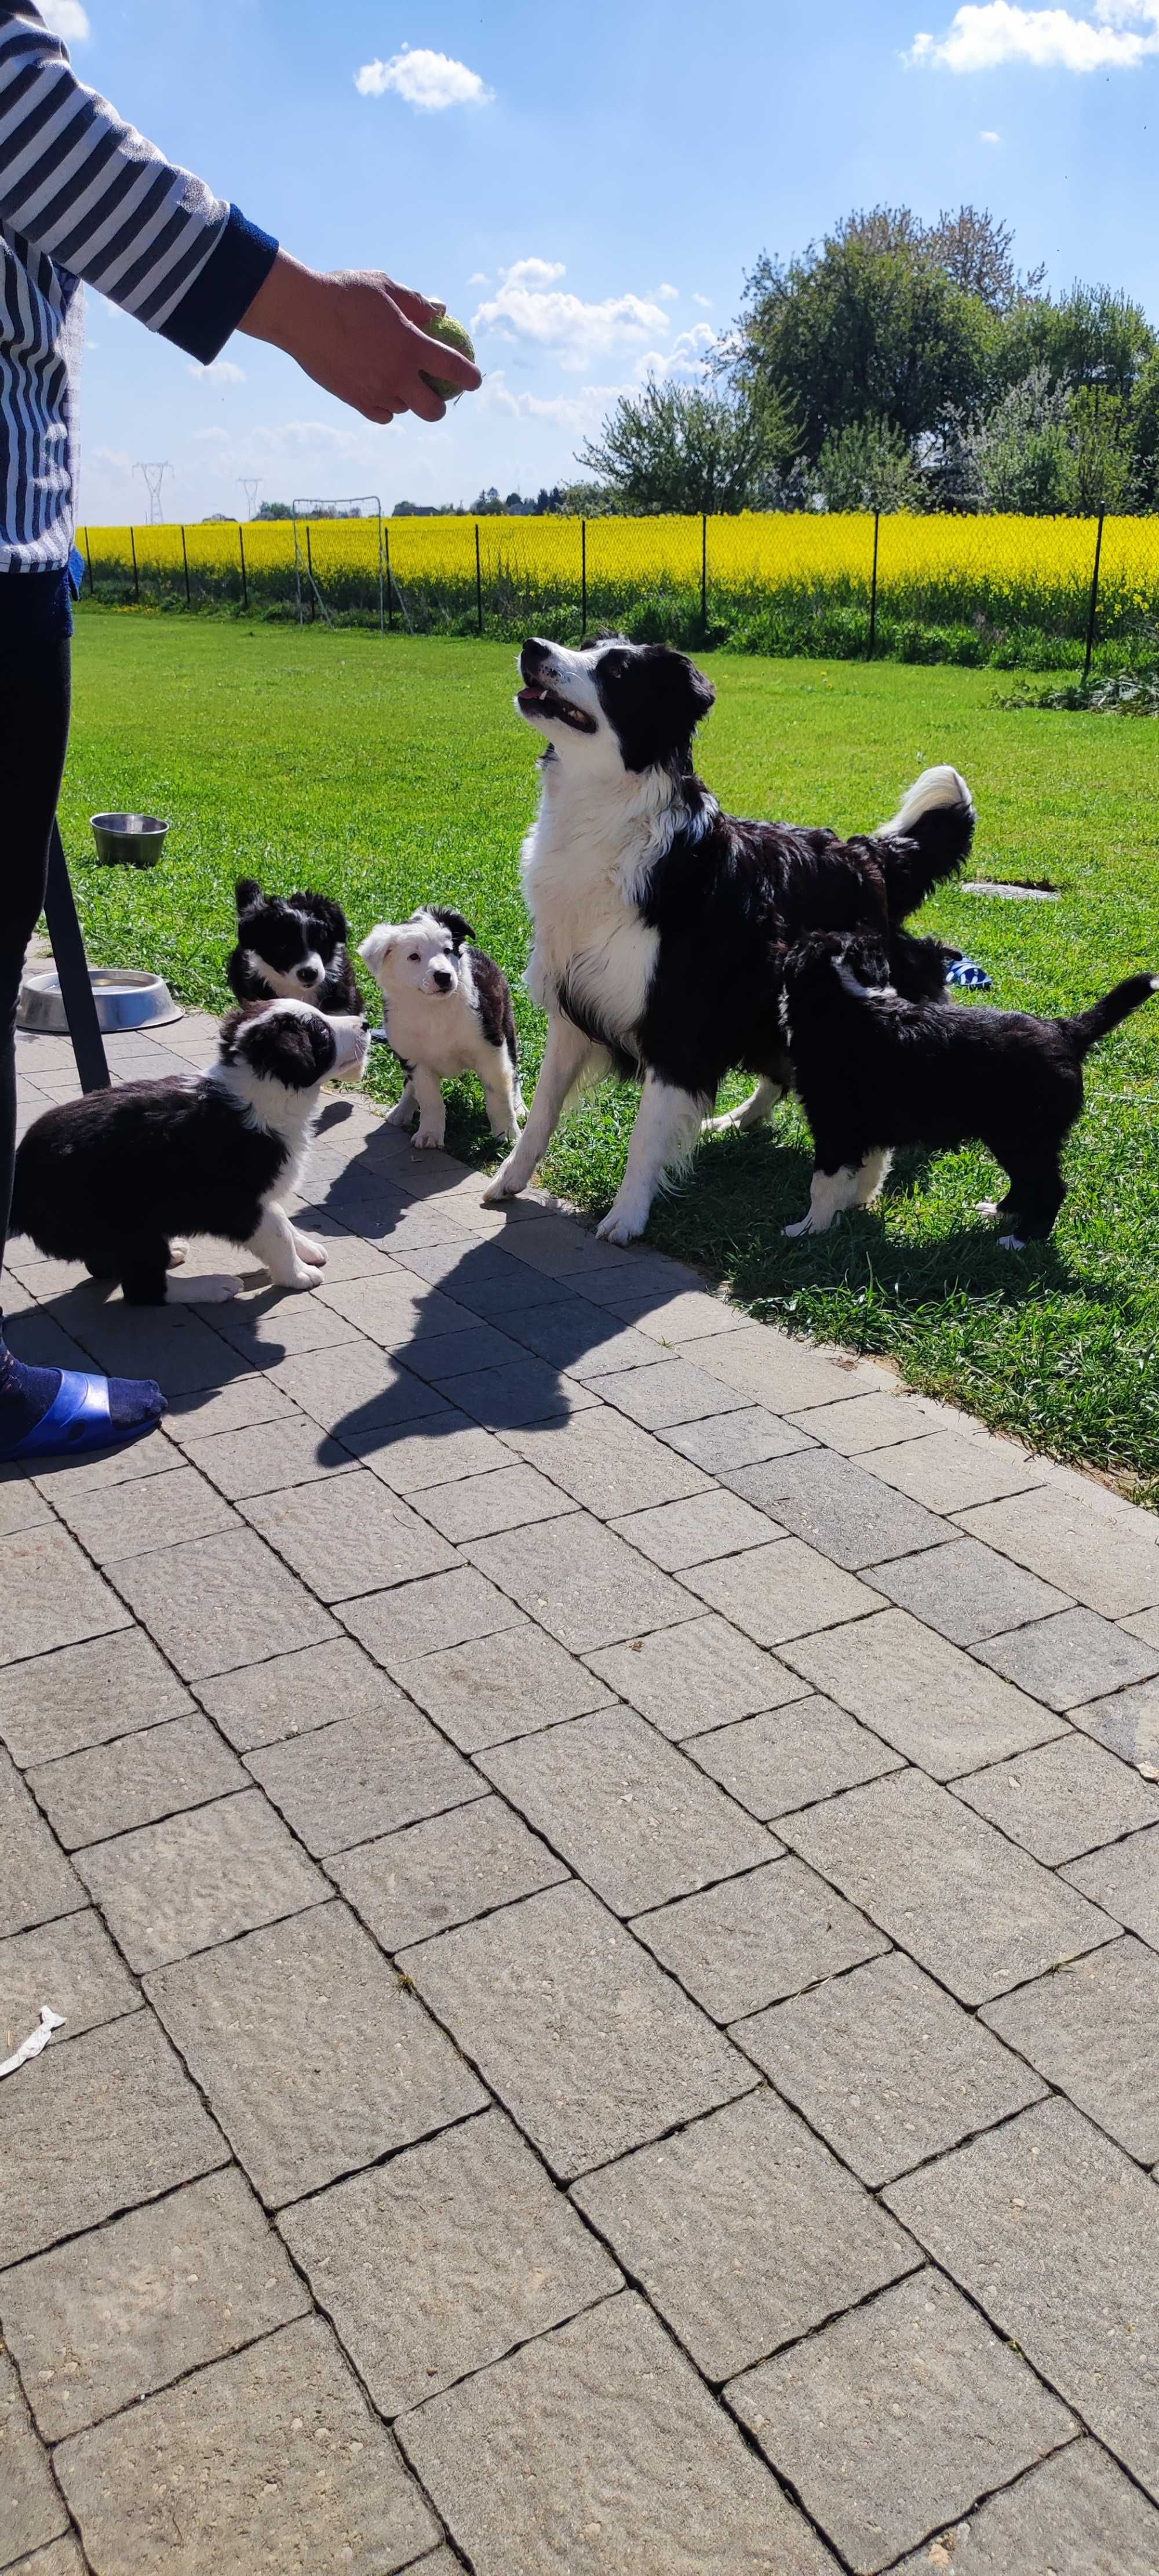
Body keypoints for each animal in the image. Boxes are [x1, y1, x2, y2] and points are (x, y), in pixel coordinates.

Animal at [11, 994, 366, 1298]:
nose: (364, 1024)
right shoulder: (235, 1202)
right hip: (125, 1218)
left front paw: (306, 1247)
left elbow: (282, 1220)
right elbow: (277, 1231)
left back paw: (174, 1253)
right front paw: (297, 1274)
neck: (259, 1095)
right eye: (323, 1033)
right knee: (144, 1289)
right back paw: (212, 1287)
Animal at [360, 907, 523, 1149]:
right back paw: (402, 1111)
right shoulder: (416, 1060)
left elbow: (499, 1096)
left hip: (506, 1025)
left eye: (447, 951)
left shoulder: (491, 1051)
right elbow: (430, 1100)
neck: (434, 1008)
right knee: (410, 1086)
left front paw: (509, 1136)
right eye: (414, 956)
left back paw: (519, 1106)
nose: (444, 976)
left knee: (514, 1072)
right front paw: (429, 1134)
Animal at [482, 641, 978, 1246]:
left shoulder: (677, 1022)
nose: (533, 648)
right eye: (587, 644)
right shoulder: (574, 1005)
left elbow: (646, 1135)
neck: (604, 819)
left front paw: (627, 1217)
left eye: (616, 670)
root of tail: (868, 855)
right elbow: (544, 1106)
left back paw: (860, 1185)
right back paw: (743, 1119)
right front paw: (511, 1177)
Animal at [778, 932, 1159, 1251]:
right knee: (1027, 1182)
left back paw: (1020, 1240)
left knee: (1050, 1187)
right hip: (1014, 1137)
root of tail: (1064, 1030)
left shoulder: (834, 1126)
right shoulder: (866, 1131)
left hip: (1022, 1135)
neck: (842, 1002)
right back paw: (1000, 1211)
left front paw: (807, 1229)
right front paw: (854, 1210)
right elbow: (866, 1173)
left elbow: (822, 1183)